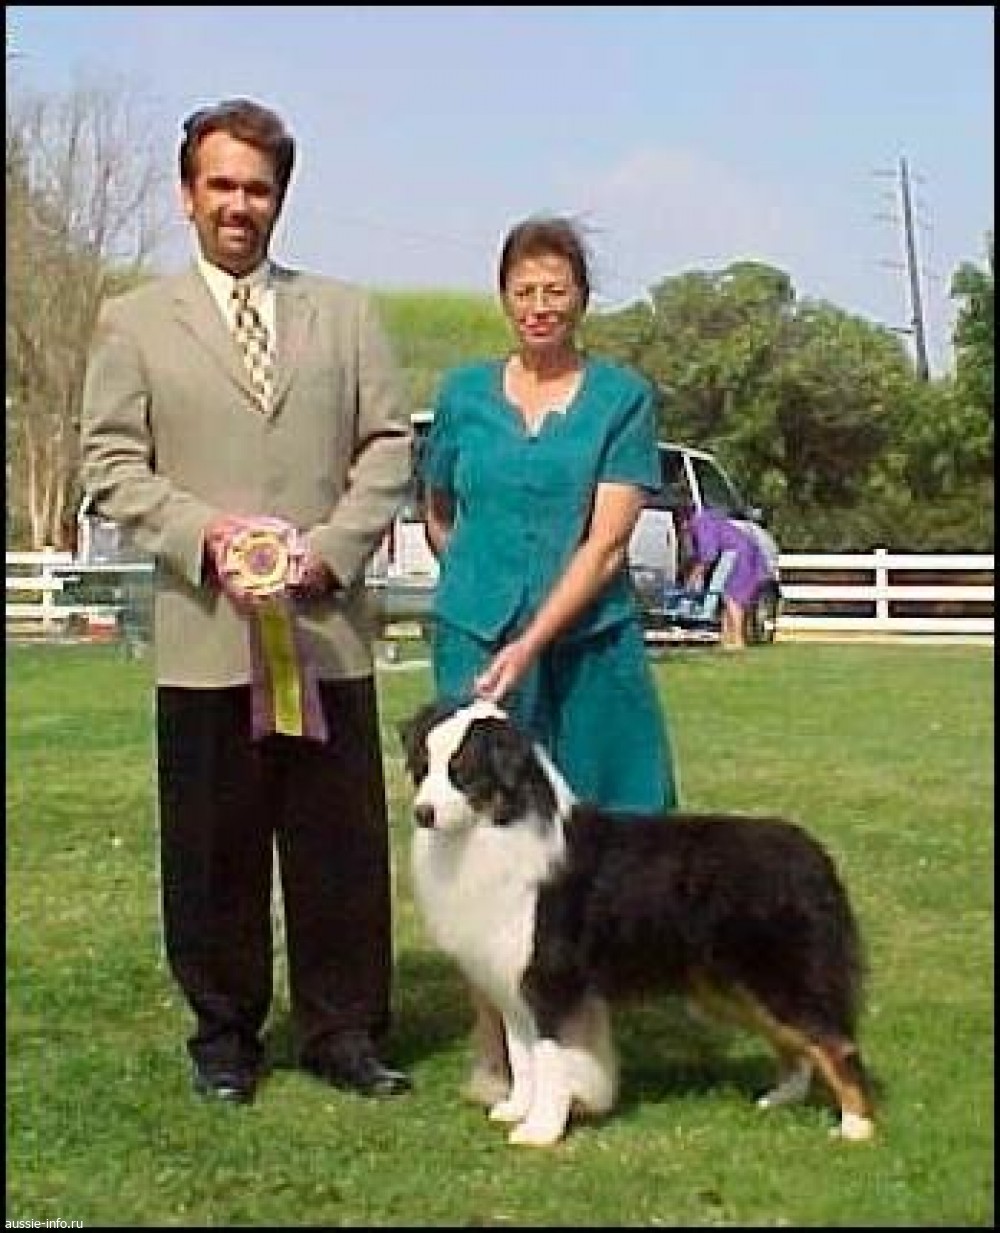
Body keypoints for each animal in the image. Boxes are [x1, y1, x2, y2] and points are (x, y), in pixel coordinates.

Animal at [400, 697, 875, 1148]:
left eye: (462, 773)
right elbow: (523, 1058)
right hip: (729, 987)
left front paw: (540, 1132)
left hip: (776, 976)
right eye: (423, 768)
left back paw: (855, 1126)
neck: (498, 829)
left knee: (835, 1042)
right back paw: (781, 1099)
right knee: (796, 1043)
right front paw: (517, 1109)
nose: (422, 813)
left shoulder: (551, 983)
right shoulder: (511, 984)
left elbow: (551, 1062)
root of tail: (814, 854)